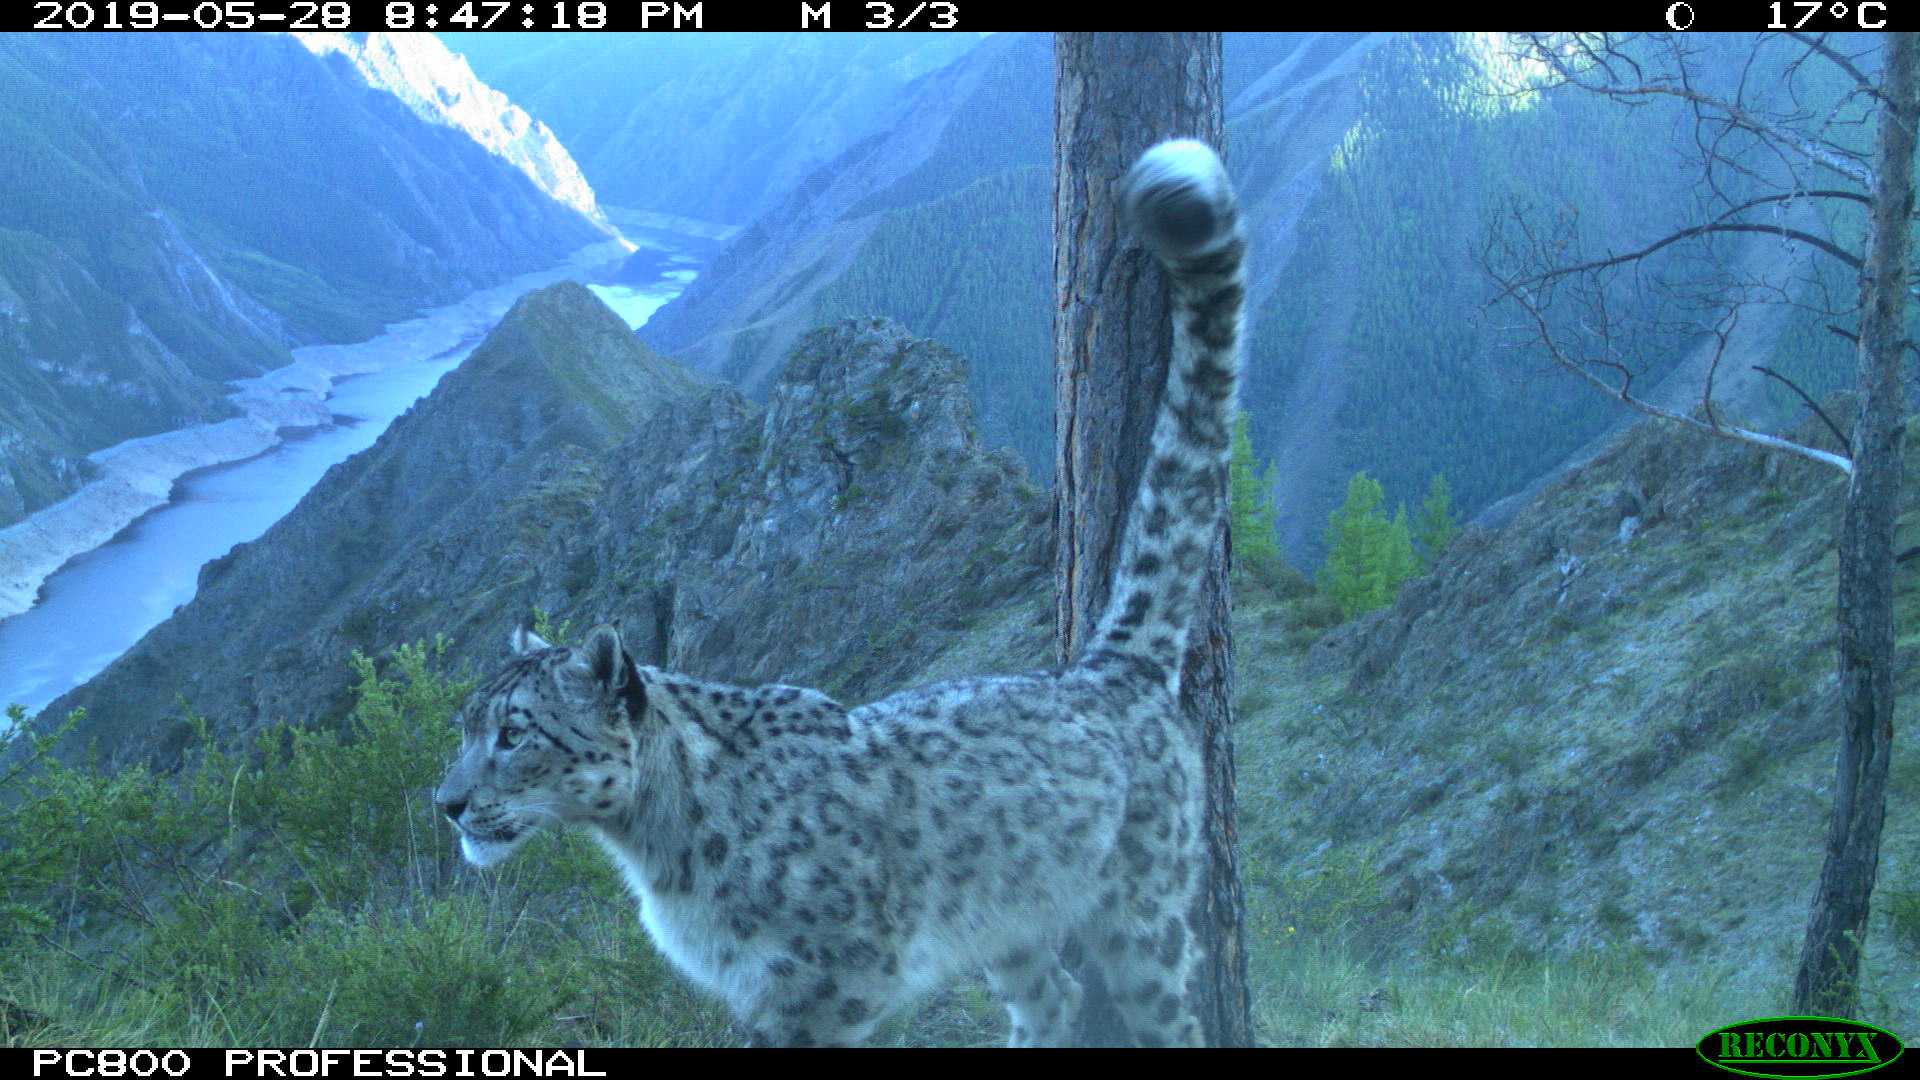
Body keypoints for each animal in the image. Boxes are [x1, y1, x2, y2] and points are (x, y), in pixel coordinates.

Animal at [433, 141, 1244, 1045]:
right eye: (465, 724)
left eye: (514, 733)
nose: (446, 803)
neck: (660, 850)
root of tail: (1107, 669)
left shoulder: (825, 992)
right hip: (1010, 923)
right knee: (1055, 996)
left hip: (1146, 915)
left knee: (1166, 1011)